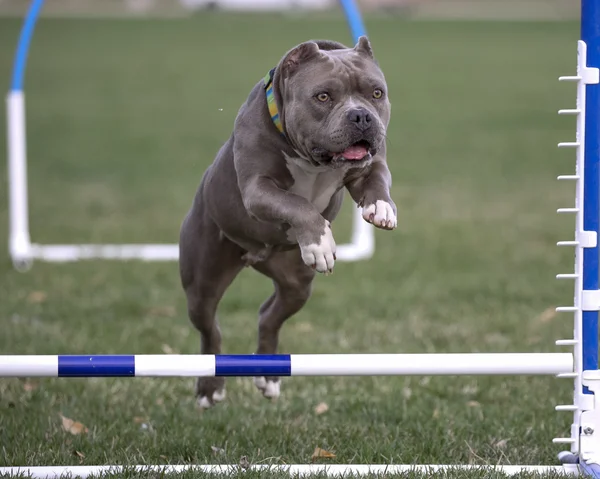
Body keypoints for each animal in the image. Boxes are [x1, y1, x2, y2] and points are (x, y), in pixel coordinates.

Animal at [176, 37, 396, 410]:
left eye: (376, 93)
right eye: (323, 96)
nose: (361, 115)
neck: (315, 161)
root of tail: (256, 255)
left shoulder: (371, 163)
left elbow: (378, 176)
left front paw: (381, 208)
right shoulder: (257, 189)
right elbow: (297, 204)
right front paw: (320, 241)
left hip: (296, 284)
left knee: (269, 316)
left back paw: (268, 376)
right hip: (202, 282)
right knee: (210, 329)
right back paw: (210, 388)